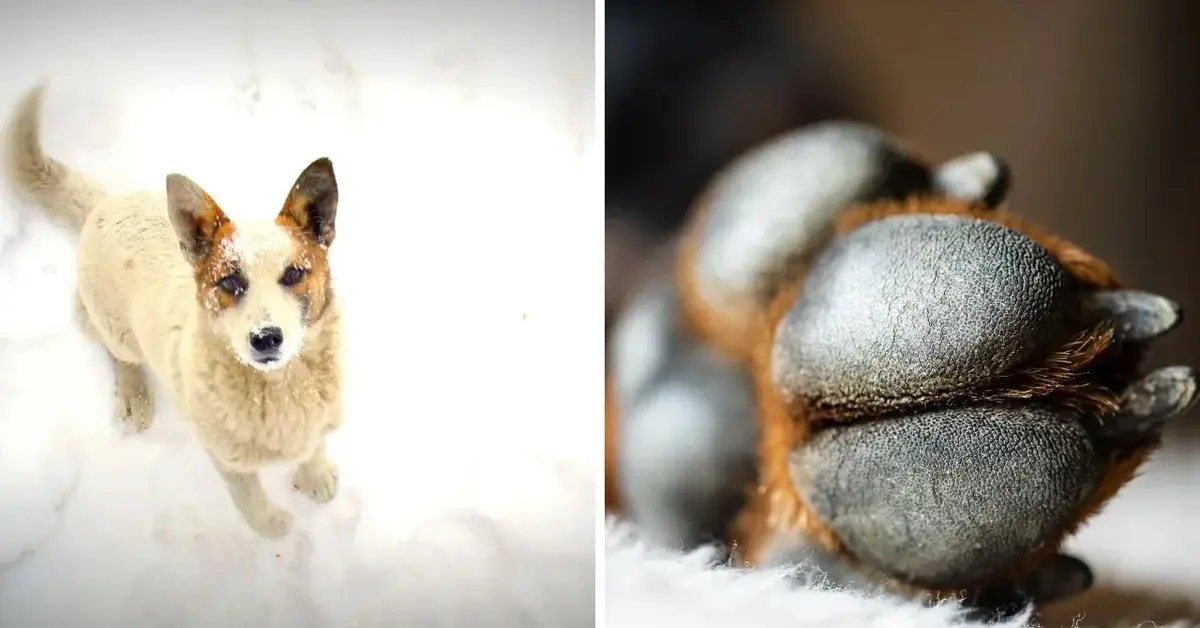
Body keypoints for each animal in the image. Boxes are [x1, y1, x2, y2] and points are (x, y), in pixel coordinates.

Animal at [3, 84, 343, 540]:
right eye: (229, 283)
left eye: (293, 274)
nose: (266, 339)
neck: (280, 386)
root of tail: (105, 205)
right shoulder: (226, 459)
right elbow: (253, 509)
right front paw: (278, 524)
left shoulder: (316, 420)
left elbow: (314, 445)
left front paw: (315, 475)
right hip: (113, 327)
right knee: (120, 355)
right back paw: (135, 394)